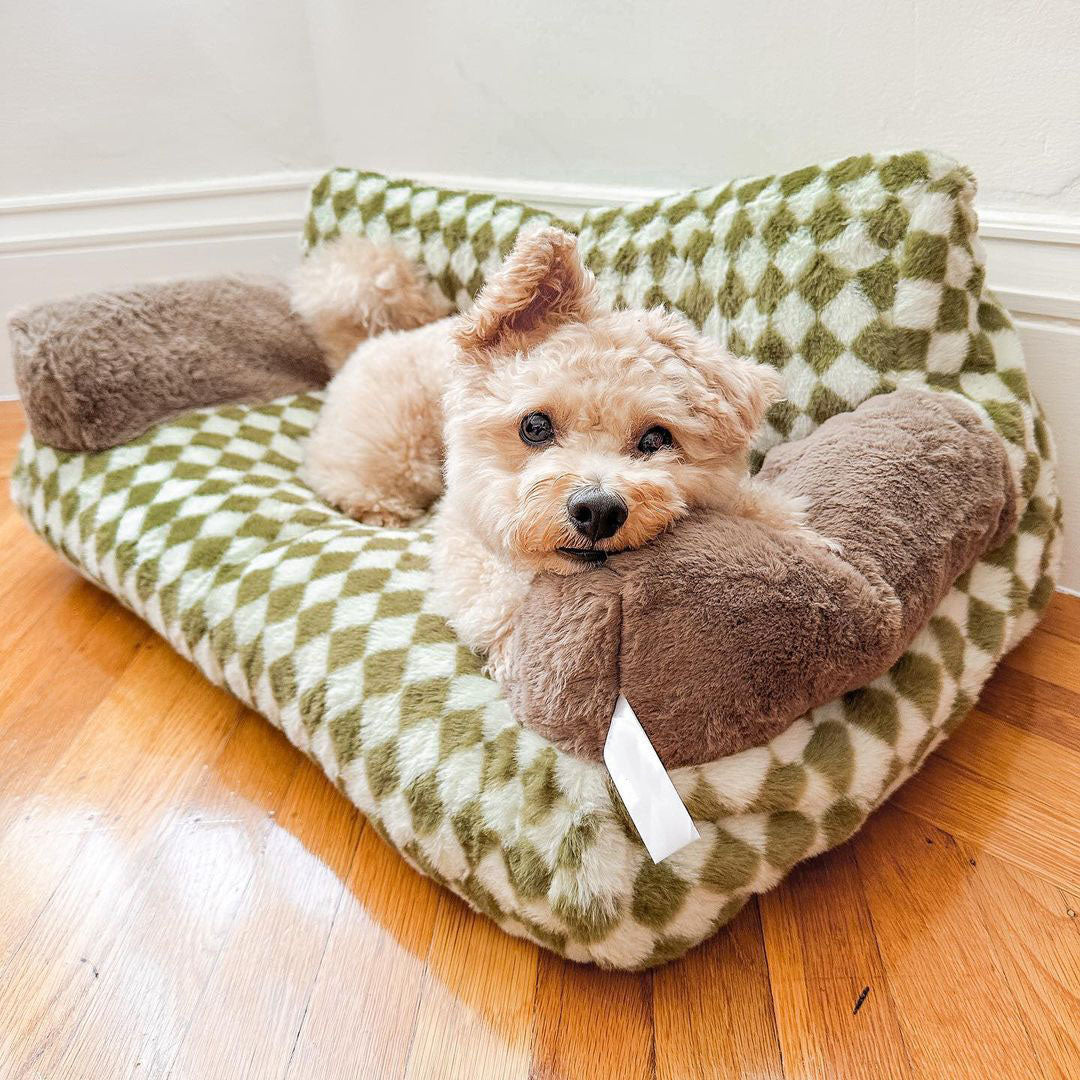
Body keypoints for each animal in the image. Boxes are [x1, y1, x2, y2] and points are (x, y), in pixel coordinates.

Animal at [291, 227, 820, 673]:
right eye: (535, 426)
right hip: (391, 451)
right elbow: (500, 598)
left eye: (656, 438)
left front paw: (798, 534)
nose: (599, 511)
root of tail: (375, 339)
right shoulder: (470, 540)